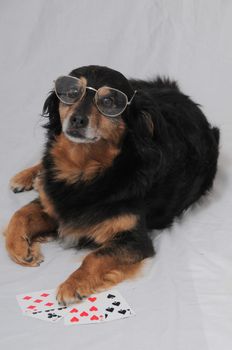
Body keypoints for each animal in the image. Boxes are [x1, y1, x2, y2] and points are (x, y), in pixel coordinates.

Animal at [5, 65, 219, 304]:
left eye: (109, 102)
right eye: (71, 92)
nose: (77, 120)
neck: (85, 172)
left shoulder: (135, 240)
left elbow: (95, 256)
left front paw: (73, 284)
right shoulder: (54, 202)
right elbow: (20, 214)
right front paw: (20, 248)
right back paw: (26, 177)